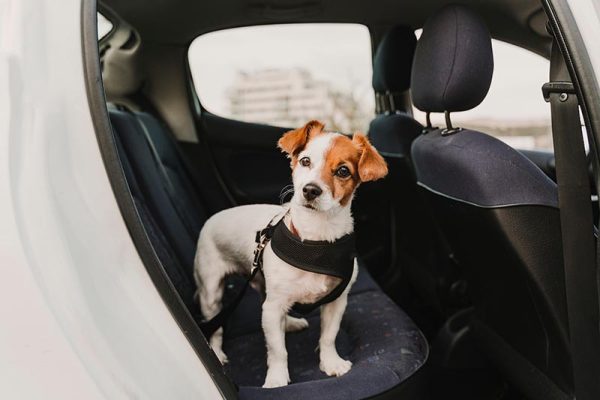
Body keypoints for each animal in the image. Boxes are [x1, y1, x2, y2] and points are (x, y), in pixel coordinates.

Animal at [195, 119, 386, 388]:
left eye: (343, 171)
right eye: (305, 161)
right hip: (211, 293)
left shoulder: (336, 302)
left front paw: (331, 362)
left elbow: (329, 336)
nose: (310, 190)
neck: (315, 240)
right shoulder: (273, 307)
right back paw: (218, 352)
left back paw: (290, 323)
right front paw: (276, 379)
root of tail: (212, 219)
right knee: (217, 326)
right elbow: (278, 350)